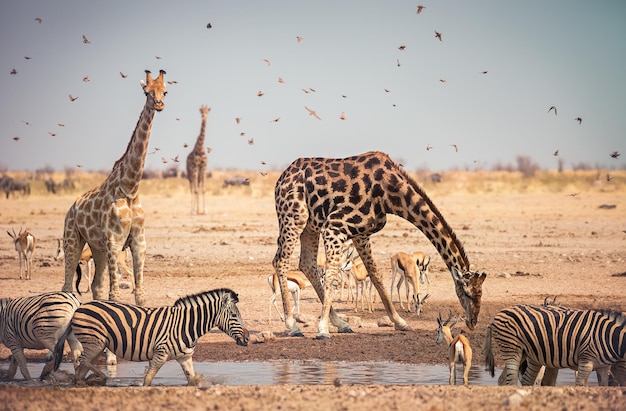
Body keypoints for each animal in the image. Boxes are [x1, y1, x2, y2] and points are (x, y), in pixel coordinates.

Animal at [61, 69, 167, 306]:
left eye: (165, 91)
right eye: (146, 92)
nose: (159, 104)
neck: (130, 189)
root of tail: (71, 208)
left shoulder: (139, 241)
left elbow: (140, 295)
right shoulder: (114, 240)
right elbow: (115, 295)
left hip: (97, 248)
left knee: (96, 286)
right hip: (72, 239)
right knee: (67, 286)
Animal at [71, 290, 249, 386]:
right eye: (234, 316)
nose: (247, 338)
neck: (186, 325)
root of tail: (81, 305)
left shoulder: (185, 358)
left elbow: (191, 380)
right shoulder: (160, 354)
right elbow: (148, 380)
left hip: (97, 345)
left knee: (83, 364)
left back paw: (81, 381)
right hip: (94, 342)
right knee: (82, 360)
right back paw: (100, 378)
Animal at [270, 153, 486, 340]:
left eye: (480, 294)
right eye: (467, 293)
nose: (472, 323)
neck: (390, 195)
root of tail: (281, 178)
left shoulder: (361, 234)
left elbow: (376, 274)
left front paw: (400, 322)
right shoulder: (336, 225)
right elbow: (332, 275)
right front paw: (322, 328)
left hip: (311, 225)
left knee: (306, 264)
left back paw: (341, 324)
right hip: (294, 216)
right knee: (281, 260)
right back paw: (292, 325)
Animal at [482, 304, 624, 388]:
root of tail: (495, 317)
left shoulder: (603, 366)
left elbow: (604, 384)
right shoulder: (587, 361)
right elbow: (580, 385)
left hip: (522, 352)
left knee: (504, 379)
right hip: (512, 348)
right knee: (511, 381)